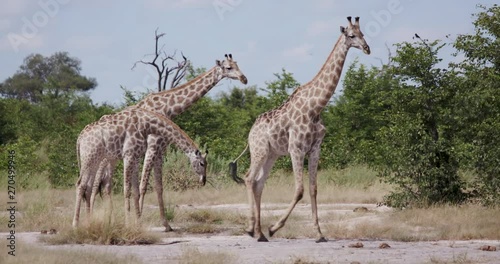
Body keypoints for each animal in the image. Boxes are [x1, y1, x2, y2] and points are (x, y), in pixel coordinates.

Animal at [72, 108, 207, 228]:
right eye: (202, 163)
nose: (204, 180)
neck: (146, 125)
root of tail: (79, 138)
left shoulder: (136, 158)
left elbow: (136, 191)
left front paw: (138, 224)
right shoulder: (128, 155)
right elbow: (127, 190)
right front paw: (127, 224)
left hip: (95, 161)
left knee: (88, 187)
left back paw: (89, 222)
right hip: (89, 159)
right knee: (80, 185)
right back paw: (75, 224)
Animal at [238, 16, 372, 242]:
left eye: (363, 34)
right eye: (351, 35)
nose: (366, 48)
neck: (315, 107)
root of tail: (251, 131)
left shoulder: (315, 148)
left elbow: (313, 189)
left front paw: (319, 233)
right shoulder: (296, 149)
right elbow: (299, 190)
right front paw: (274, 228)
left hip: (272, 154)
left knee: (258, 183)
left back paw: (259, 232)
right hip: (259, 150)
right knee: (248, 178)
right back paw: (252, 230)